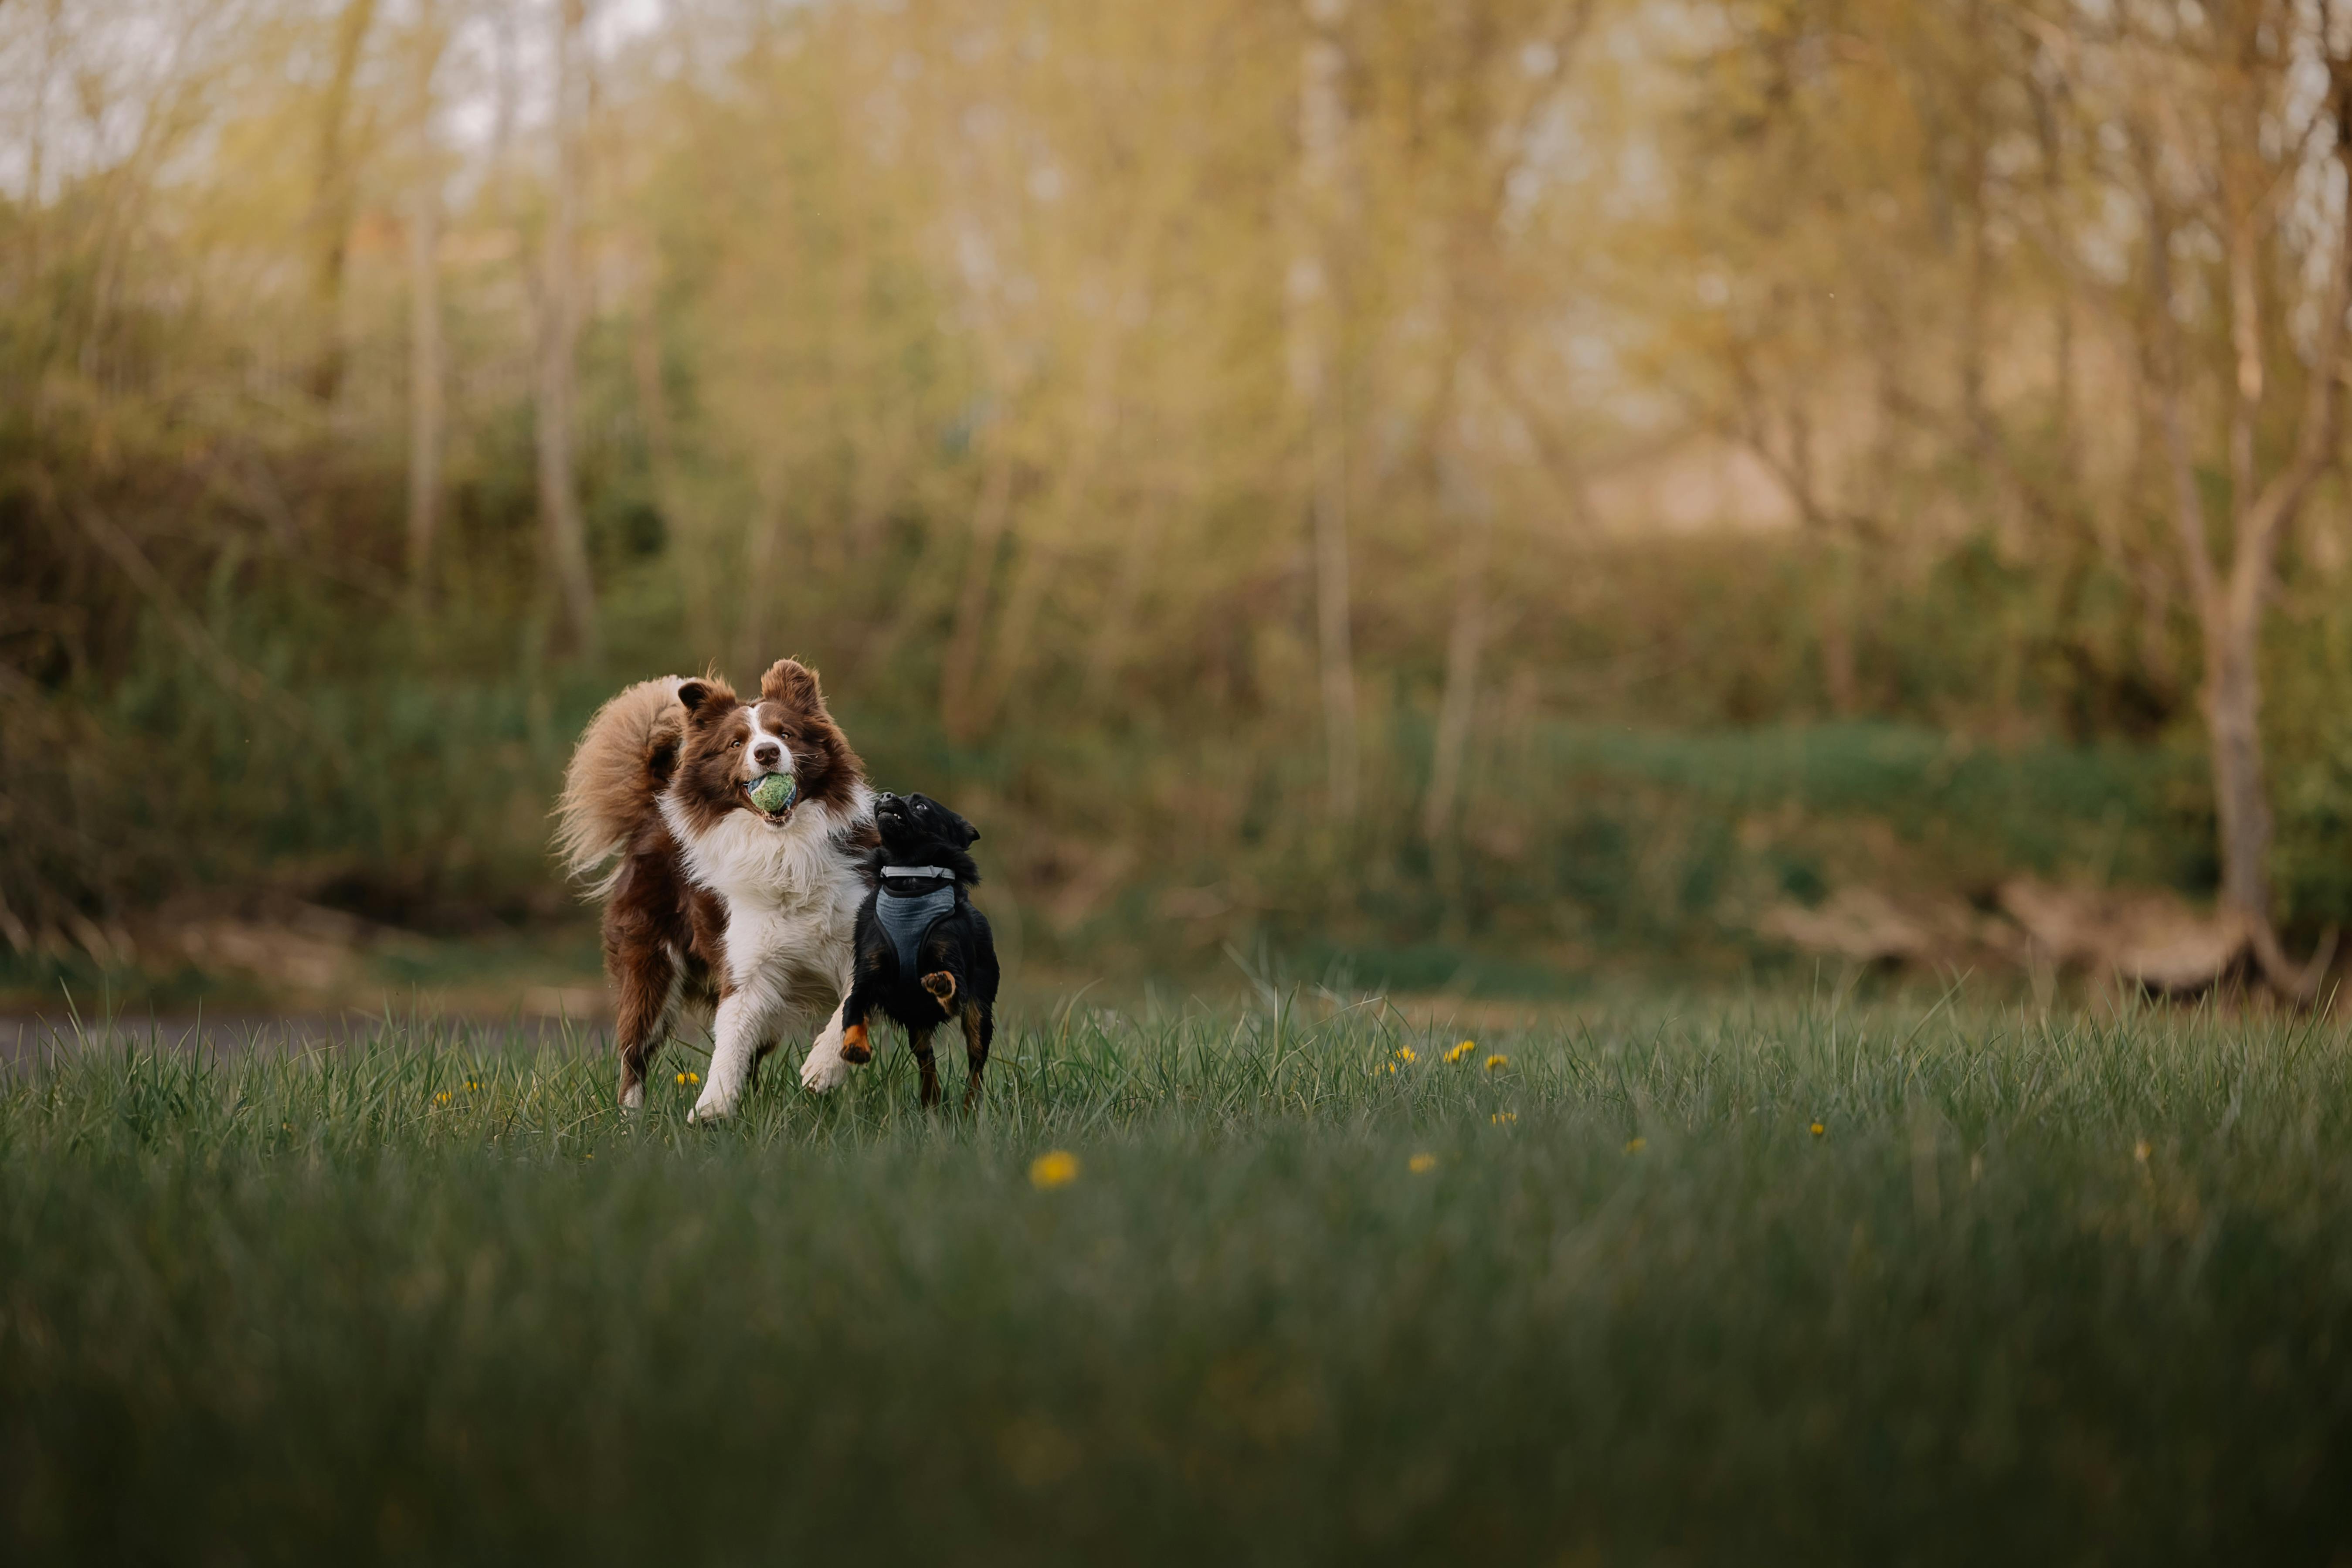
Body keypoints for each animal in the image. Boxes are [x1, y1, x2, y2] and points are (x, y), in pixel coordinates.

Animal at [555, 658, 879, 1123]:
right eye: (736, 743)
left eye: (785, 733)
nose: (766, 753)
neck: (784, 847)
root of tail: (652, 811)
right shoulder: (746, 963)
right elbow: (731, 1038)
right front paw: (711, 1109)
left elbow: (852, 1000)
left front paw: (821, 1068)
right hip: (651, 968)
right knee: (634, 1053)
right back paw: (630, 1123)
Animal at [842, 790, 997, 1110]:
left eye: (921, 806)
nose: (886, 795)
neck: (910, 880)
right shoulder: (866, 976)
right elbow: (854, 1011)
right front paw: (854, 1045)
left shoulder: (955, 973)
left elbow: (952, 984)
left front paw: (940, 982)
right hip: (916, 1021)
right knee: (927, 1060)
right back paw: (931, 1100)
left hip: (979, 1014)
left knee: (976, 1066)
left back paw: (968, 1108)